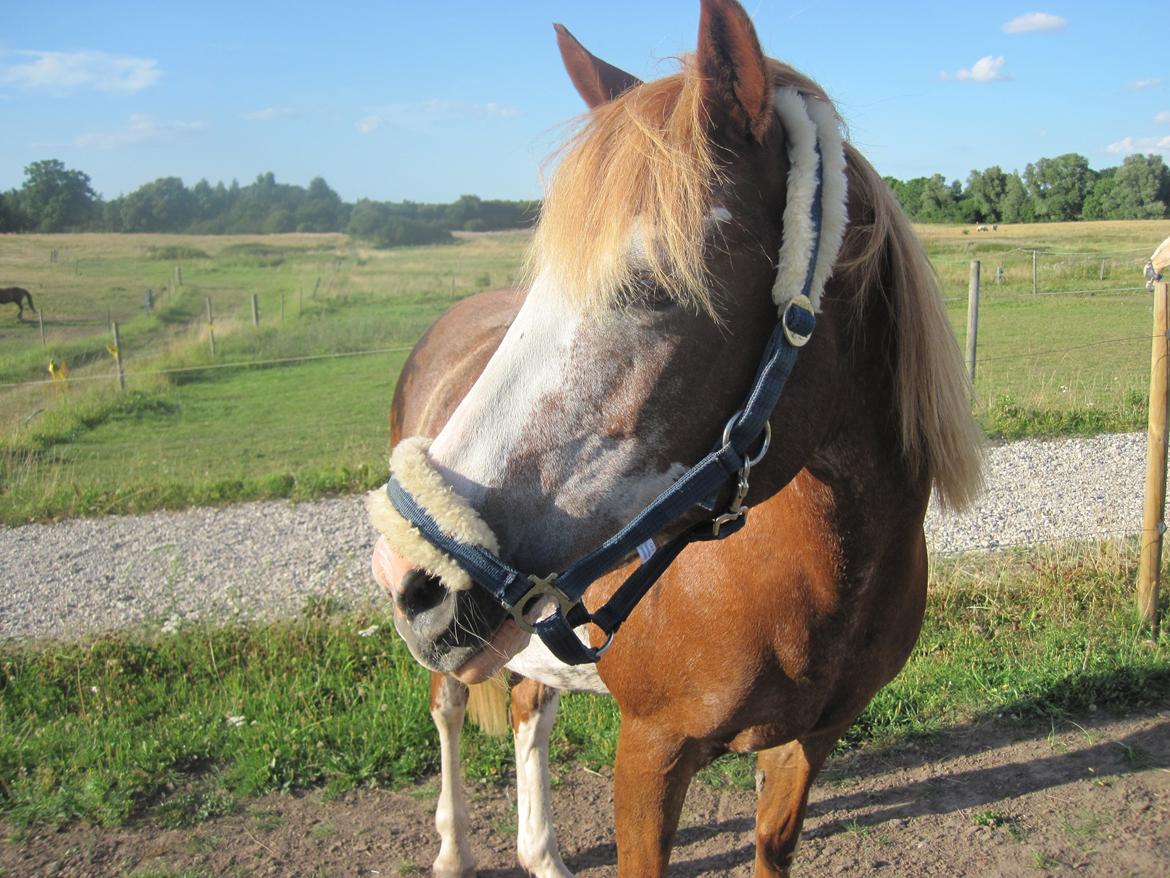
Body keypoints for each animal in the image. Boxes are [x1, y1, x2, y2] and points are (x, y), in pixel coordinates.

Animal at [365, 3, 978, 875]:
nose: (409, 579)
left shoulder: (808, 746)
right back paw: (454, 851)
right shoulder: (651, 754)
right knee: (448, 710)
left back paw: (542, 850)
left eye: (654, 286)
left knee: (528, 708)